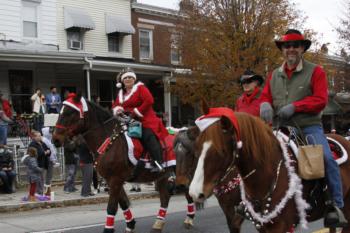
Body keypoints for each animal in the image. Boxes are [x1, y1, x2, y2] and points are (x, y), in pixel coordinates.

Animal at [53, 93, 197, 232]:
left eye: (69, 113)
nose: (55, 139)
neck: (109, 140)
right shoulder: (113, 180)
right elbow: (123, 204)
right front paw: (130, 224)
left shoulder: (115, 179)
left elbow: (112, 207)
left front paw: (108, 229)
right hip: (163, 175)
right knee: (166, 197)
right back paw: (158, 223)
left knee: (187, 192)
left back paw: (189, 219)